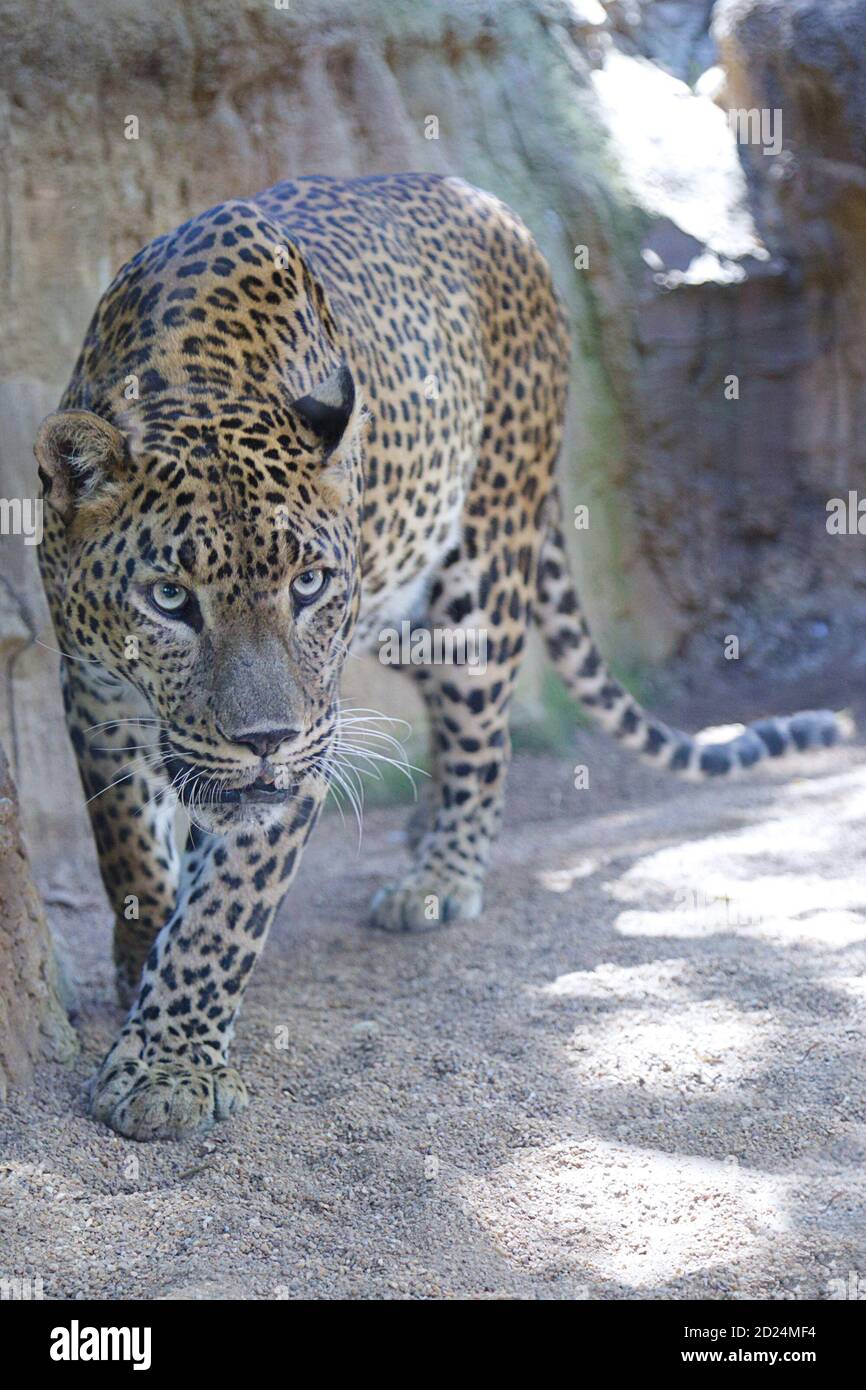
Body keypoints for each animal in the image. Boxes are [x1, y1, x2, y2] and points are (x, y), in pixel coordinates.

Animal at [35, 172, 845, 1141]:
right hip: (405, 598)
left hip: (479, 569)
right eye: (168, 599)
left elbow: (222, 913)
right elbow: (125, 844)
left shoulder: (310, 736)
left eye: (308, 584)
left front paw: (167, 1068)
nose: (265, 741)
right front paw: (139, 960)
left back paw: (441, 876)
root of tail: (491, 205)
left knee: (483, 733)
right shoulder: (92, 688)